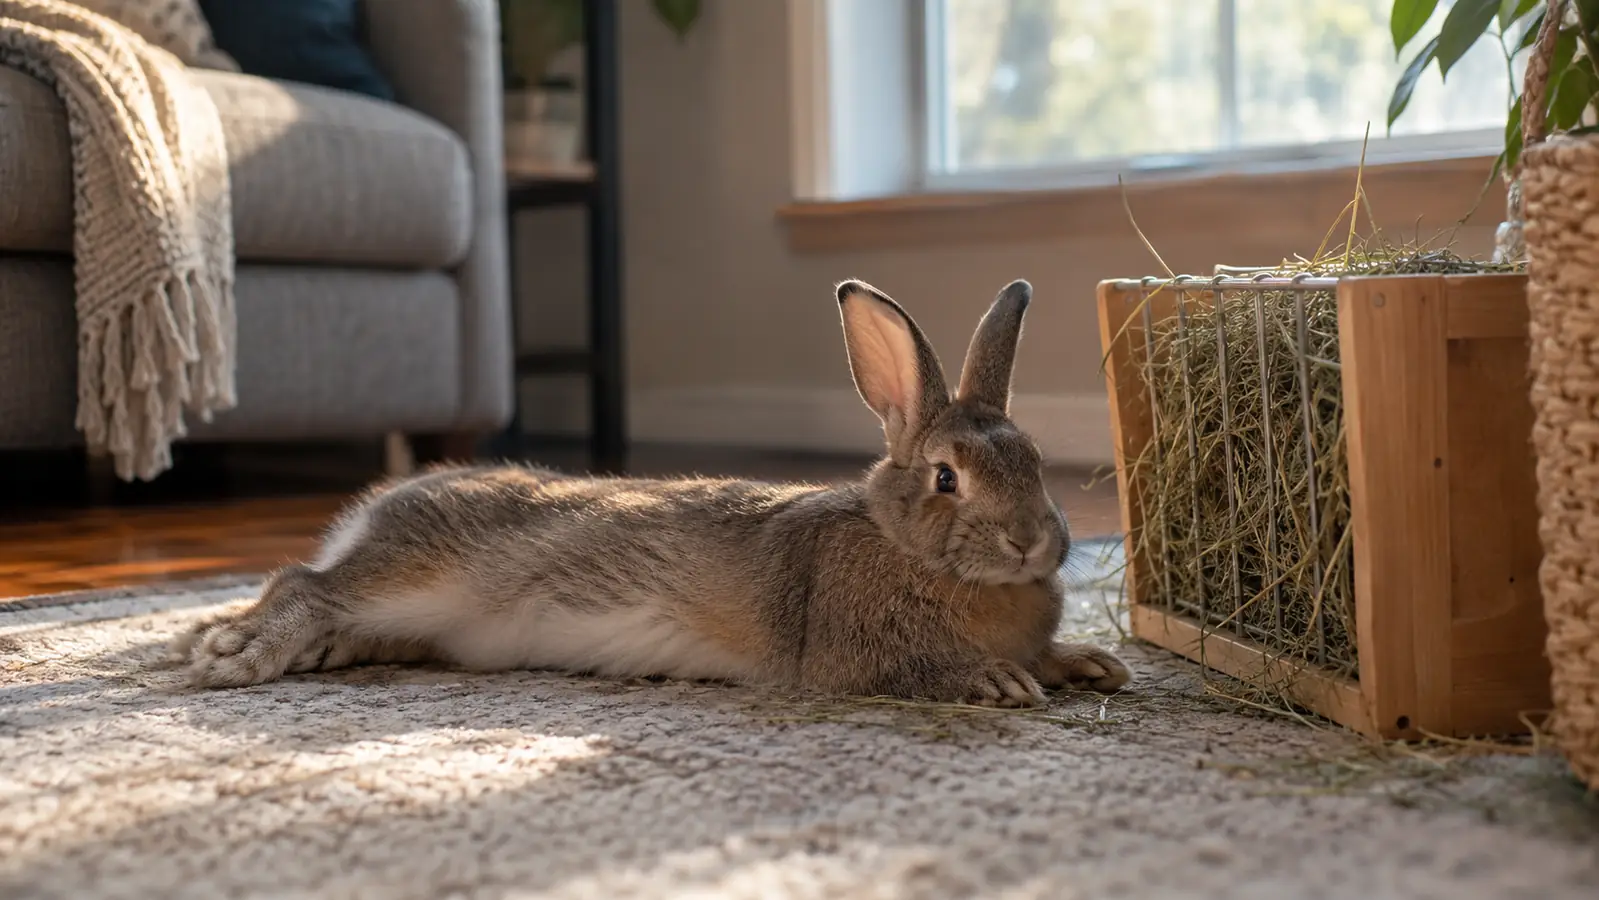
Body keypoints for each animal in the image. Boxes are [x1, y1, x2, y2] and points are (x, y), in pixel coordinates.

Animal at [166, 278, 1132, 706]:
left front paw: (1087, 664)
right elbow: (919, 672)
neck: (904, 544)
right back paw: (234, 651)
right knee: (304, 585)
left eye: (1034, 458)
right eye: (944, 477)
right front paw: (1000, 682)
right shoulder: (857, 655)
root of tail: (376, 507)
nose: (1033, 542)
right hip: (411, 577)